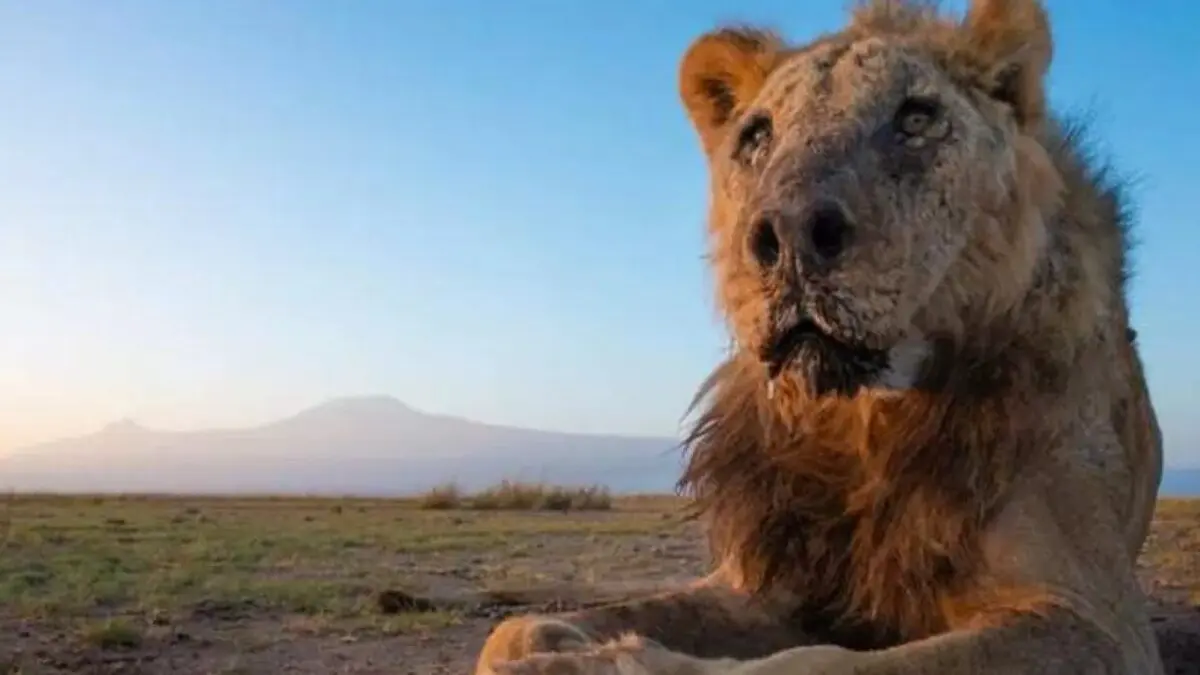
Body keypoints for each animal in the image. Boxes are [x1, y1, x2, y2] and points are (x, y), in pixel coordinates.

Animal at [473, 0, 1172, 673]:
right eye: (756, 135)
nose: (789, 235)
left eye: (916, 118)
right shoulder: (765, 582)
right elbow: (516, 629)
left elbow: (817, 663)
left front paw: (602, 664)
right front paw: (551, 643)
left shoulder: (1094, 621)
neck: (860, 421)